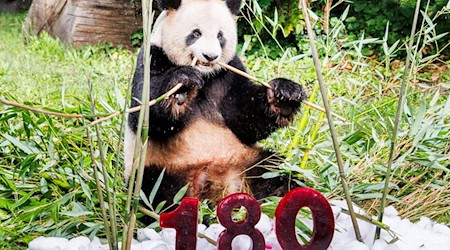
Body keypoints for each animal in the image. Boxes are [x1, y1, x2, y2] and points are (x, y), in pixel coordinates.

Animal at [124, 0, 306, 209]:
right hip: (160, 168)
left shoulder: (229, 72)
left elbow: (245, 120)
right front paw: (181, 87)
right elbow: (144, 114)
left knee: (275, 169)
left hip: (246, 159)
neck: (205, 76)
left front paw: (284, 96)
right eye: (196, 33)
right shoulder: (153, 58)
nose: (210, 56)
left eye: (220, 35)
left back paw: (284, 195)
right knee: (156, 191)